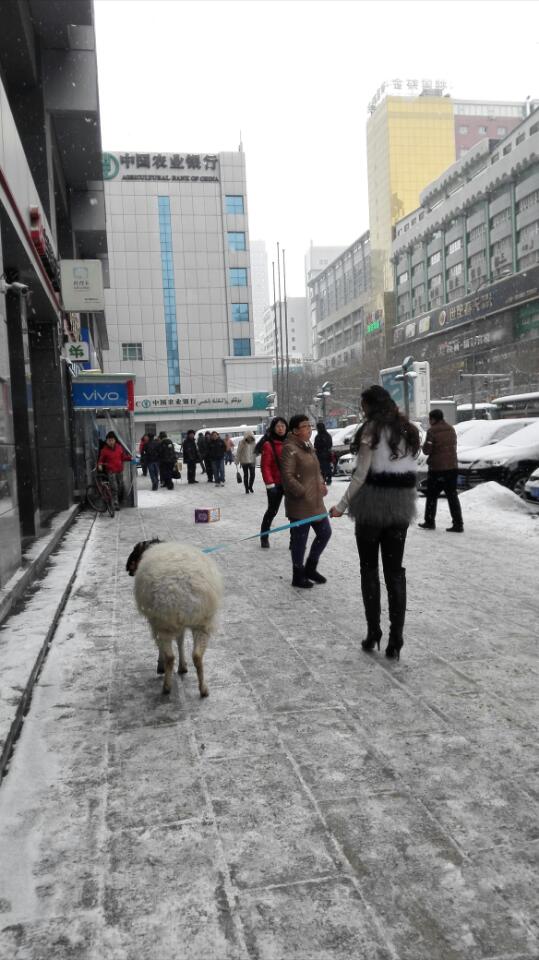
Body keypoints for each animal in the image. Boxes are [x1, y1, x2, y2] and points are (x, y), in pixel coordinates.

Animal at [125, 540, 223, 696]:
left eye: (135, 551)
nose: (127, 567)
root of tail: (182, 588)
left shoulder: (156, 623)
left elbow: (165, 646)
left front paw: (161, 666)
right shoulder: (180, 624)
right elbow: (180, 641)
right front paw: (183, 667)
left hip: (163, 623)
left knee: (170, 657)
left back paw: (166, 687)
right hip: (202, 622)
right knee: (197, 655)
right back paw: (203, 689)